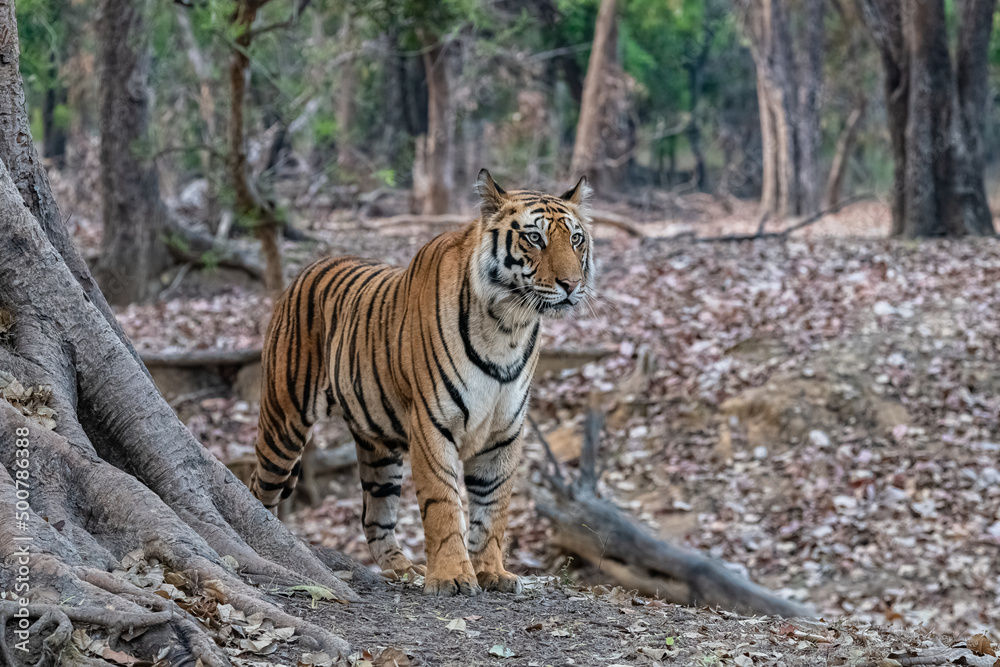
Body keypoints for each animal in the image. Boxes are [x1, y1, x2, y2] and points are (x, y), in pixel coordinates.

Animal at [250, 169, 595, 596]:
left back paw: (404, 571)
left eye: (576, 239)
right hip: (284, 421)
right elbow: (443, 503)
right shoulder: (433, 423)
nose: (571, 284)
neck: (508, 325)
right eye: (534, 238)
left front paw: (492, 572)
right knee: (258, 487)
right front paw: (452, 577)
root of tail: (308, 269)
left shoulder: (505, 432)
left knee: (374, 517)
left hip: (378, 448)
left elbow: (493, 507)